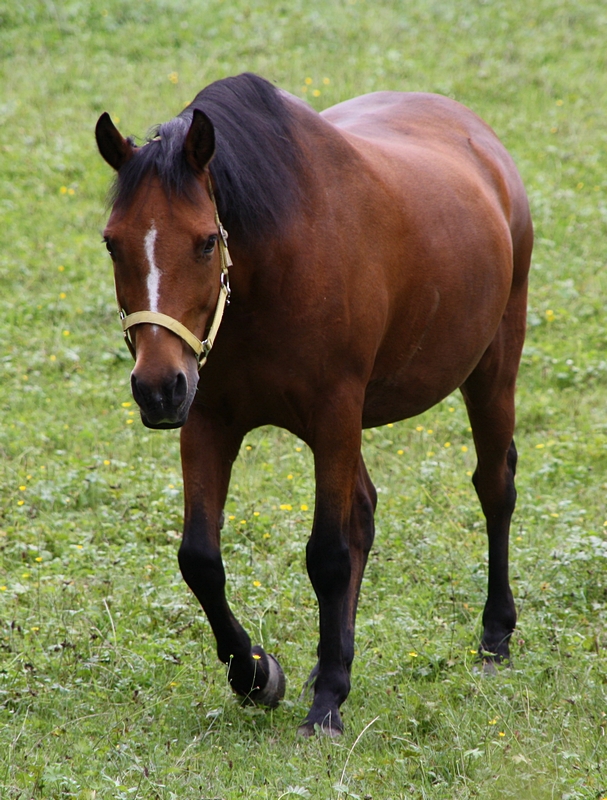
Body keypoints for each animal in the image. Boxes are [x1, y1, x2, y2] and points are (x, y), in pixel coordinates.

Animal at [95, 73, 532, 736]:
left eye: (206, 242)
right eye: (112, 244)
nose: (156, 387)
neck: (276, 264)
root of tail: (482, 141)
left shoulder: (334, 415)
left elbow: (327, 552)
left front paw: (325, 704)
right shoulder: (208, 421)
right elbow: (201, 558)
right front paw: (257, 673)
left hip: (492, 367)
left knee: (494, 487)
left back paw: (494, 637)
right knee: (367, 511)